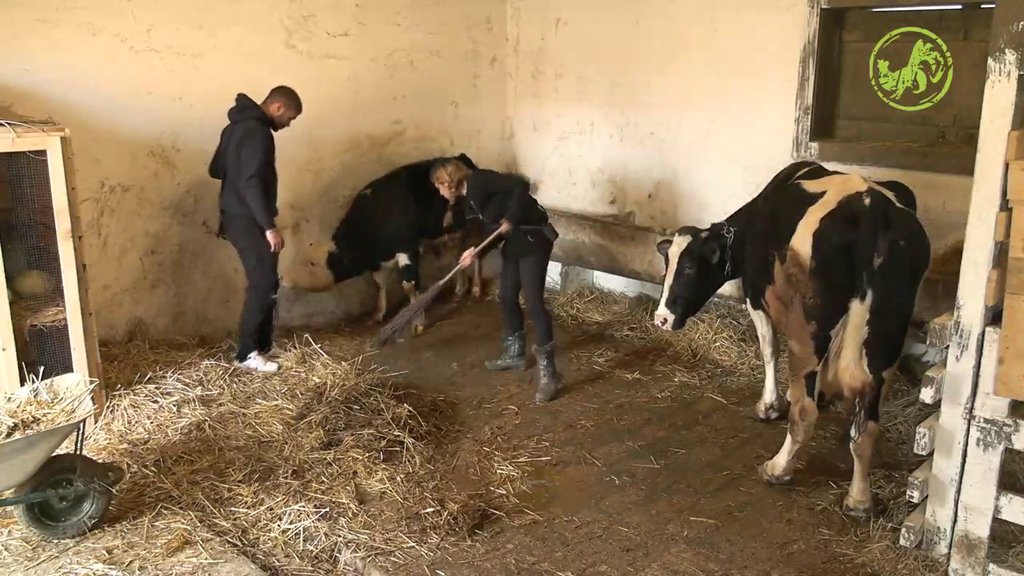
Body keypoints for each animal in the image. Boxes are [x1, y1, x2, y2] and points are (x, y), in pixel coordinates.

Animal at [288, 152, 479, 332]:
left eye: (312, 263)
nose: (284, 278)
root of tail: (459, 157)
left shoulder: (407, 248)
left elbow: (409, 285)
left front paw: (416, 322)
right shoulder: (378, 263)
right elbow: (379, 283)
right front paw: (378, 313)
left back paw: (476, 288)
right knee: (458, 253)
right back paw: (461, 288)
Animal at [655, 158, 929, 512]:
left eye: (688, 267)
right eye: (667, 264)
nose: (662, 318)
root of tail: (873, 213)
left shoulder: (755, 295)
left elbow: (769, 349)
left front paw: (769, 405)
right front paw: (818, 392)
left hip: (808, 330)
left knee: (804, 412)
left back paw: (778, 467)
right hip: (886, 336)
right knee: (866, 425)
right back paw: (859, 499)